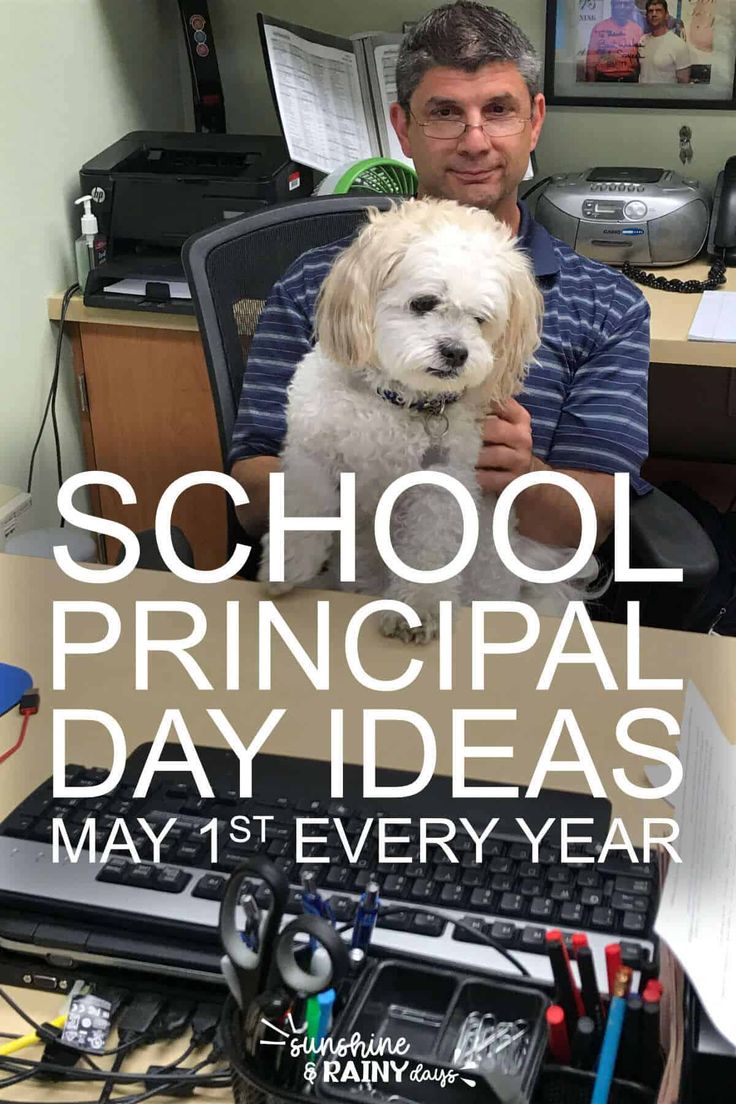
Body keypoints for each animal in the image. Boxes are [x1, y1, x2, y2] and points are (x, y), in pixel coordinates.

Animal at [259, 200, 600, 640]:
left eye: (481, 319)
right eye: (423, 303)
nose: (456, 352)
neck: (399, 403)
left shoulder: (439, 486)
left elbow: (428, 550)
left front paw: (418, 609)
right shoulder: (313, 455)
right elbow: (302, 510)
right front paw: (285, 567)